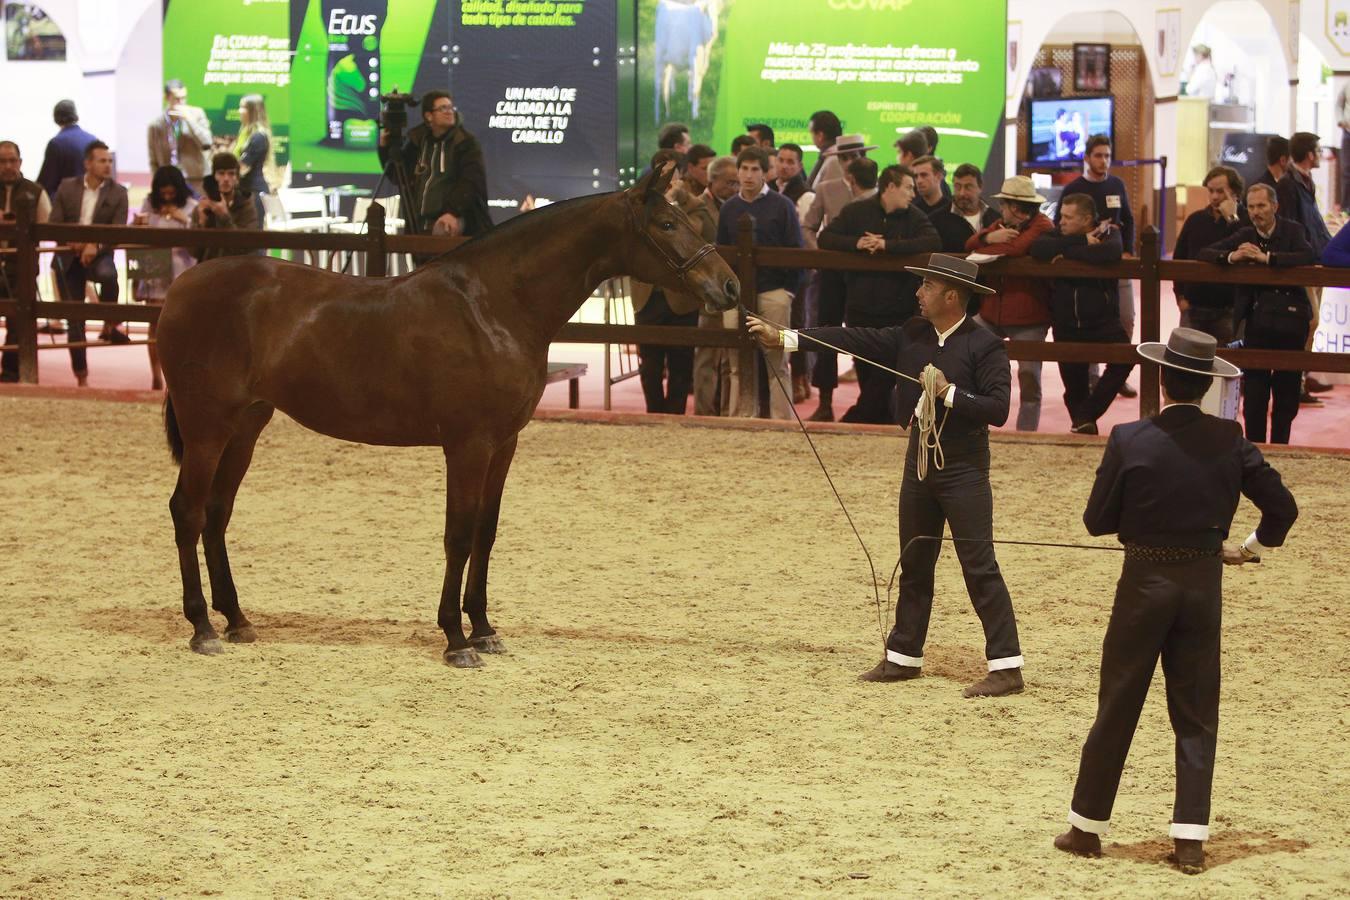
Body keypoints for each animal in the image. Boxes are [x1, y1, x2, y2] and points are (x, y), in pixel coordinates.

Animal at [157, 165, 739, 666]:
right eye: (668, 223)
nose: (729, 286)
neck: (493, 306)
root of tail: (180, 288)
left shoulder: (504, 445)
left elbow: (485, 532)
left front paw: (483, 629)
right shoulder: (468, 445)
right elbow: (457, 535)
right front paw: (456, 639)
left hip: (245, 428)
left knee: (216, 513)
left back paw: (236, 619)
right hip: (208, 428)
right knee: (187, 511)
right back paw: (202, 628)